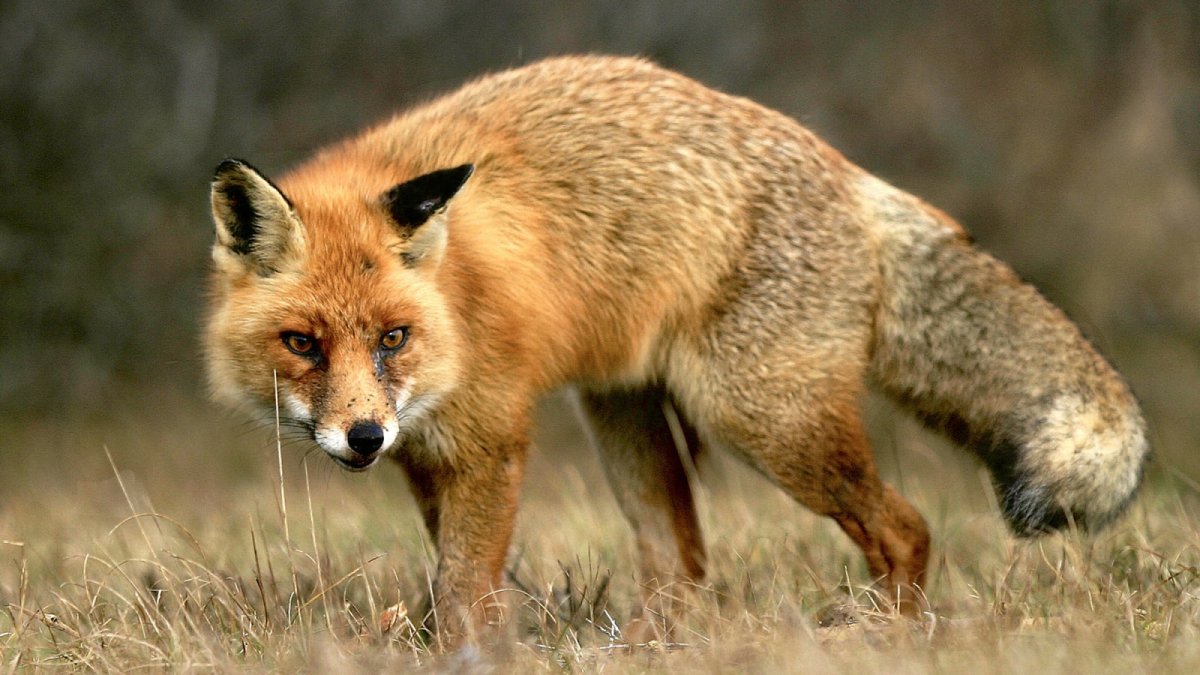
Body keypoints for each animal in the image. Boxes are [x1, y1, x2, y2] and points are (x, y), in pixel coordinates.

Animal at [205, 55, 1149, 644]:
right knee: (684, 562)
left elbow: (466, 588)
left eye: (392, 337)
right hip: (625, 415)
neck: (456, 296)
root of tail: (849, 173)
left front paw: (465, 653)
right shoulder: (426, 455)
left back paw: (890, 634)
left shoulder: (488, 443)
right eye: (303, 342)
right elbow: (456, 580)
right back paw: (652, 644)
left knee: (906, 526)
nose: (363, 437)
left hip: (764, 422)